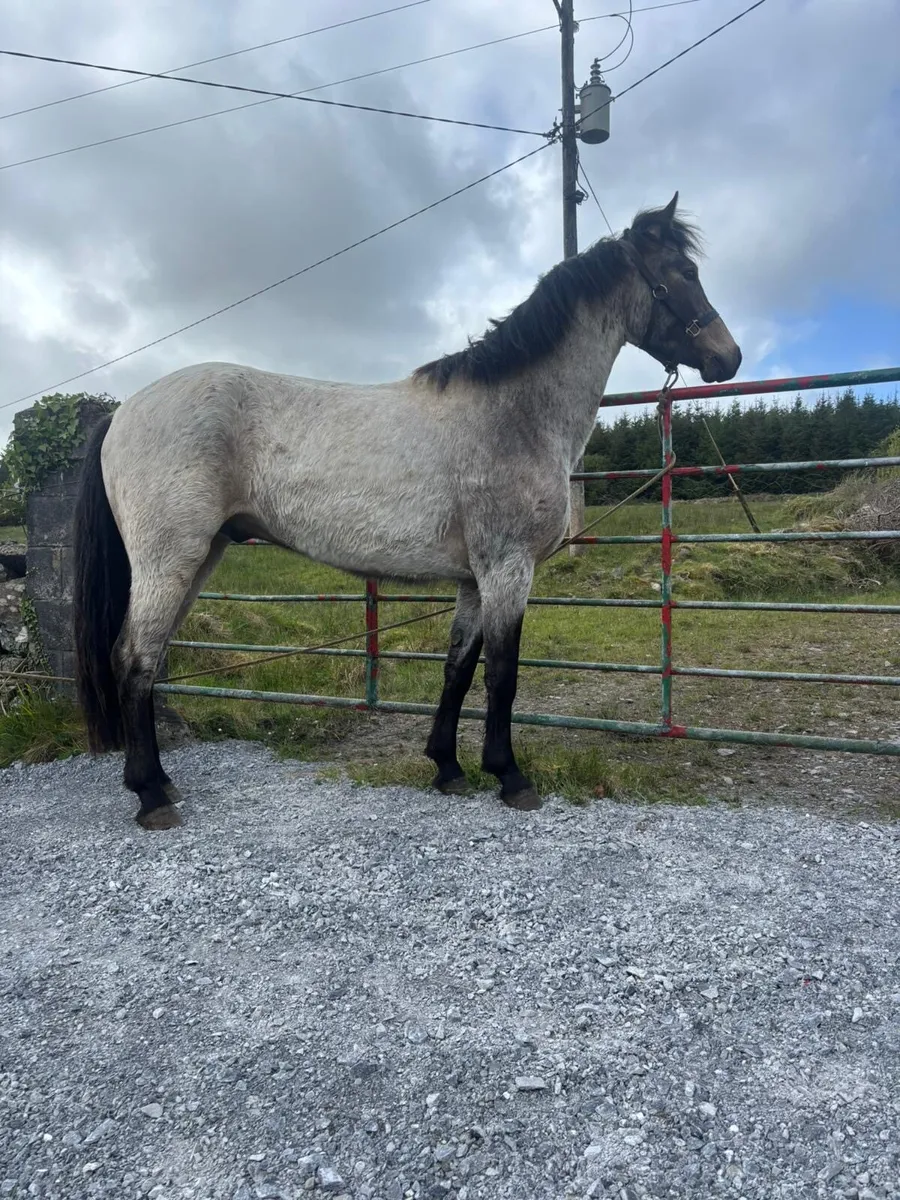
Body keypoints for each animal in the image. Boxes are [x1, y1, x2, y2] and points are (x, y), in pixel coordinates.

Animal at [73, 193, 741, 829]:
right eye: (684, 272)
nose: (728, 359)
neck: (513, 414)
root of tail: (124, 411)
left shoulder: (475, 578)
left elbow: (458, 668)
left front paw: (447, 767)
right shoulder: (508, 569)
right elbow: (503, 674)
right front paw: (511, 778)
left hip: (200, 557)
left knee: (147, 660)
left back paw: (162, 783)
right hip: (169, 561)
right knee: (133, 658)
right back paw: (151, 796)